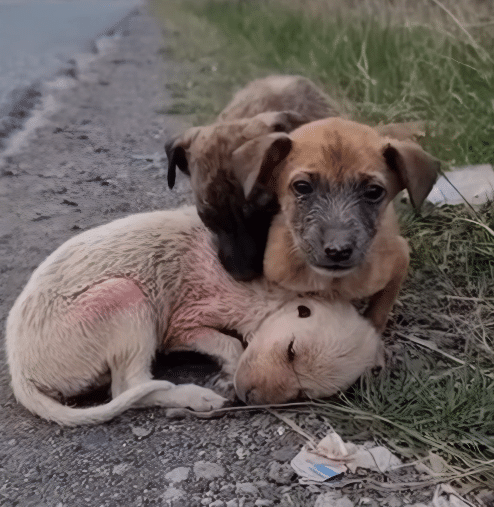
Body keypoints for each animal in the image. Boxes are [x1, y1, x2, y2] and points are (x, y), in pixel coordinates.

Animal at [6, 206, 383, 426]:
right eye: (291, 351)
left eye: (304, 394)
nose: (249, 399)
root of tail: (21, 371)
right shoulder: (183, 323)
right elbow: (231, 345)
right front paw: (227, 374)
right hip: (125, 295)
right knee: (128, 387)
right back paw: (197, 397)